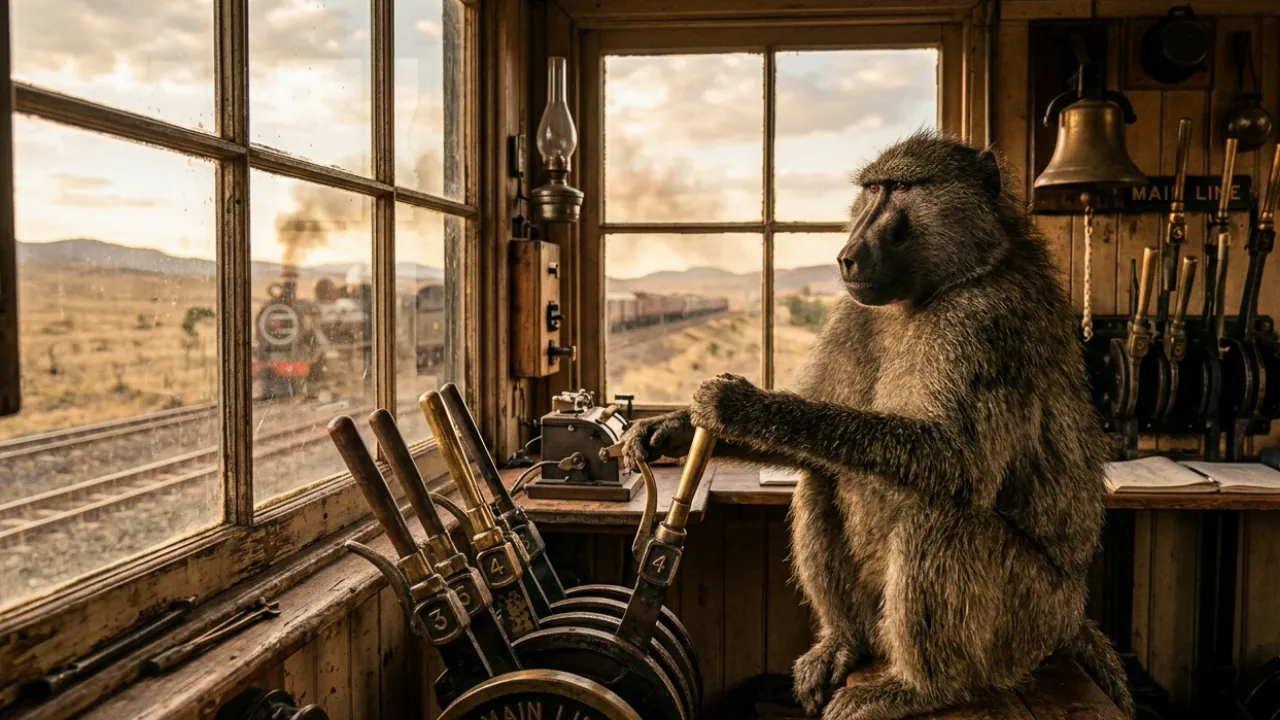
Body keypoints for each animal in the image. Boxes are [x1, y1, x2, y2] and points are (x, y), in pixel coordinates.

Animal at [619, 130, 1133, 720]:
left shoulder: (987, 321)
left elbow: (955, 460)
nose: (847, 255)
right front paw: (668, 429)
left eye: (903, 189)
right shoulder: (856, 312)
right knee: (819, 482)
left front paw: (737, 405)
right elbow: (814, 446)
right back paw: (847, 642)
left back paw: (922, 688)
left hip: (1030, 619)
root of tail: (1071, 615)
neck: (939, 287)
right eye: (871, 190)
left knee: (941, 513)